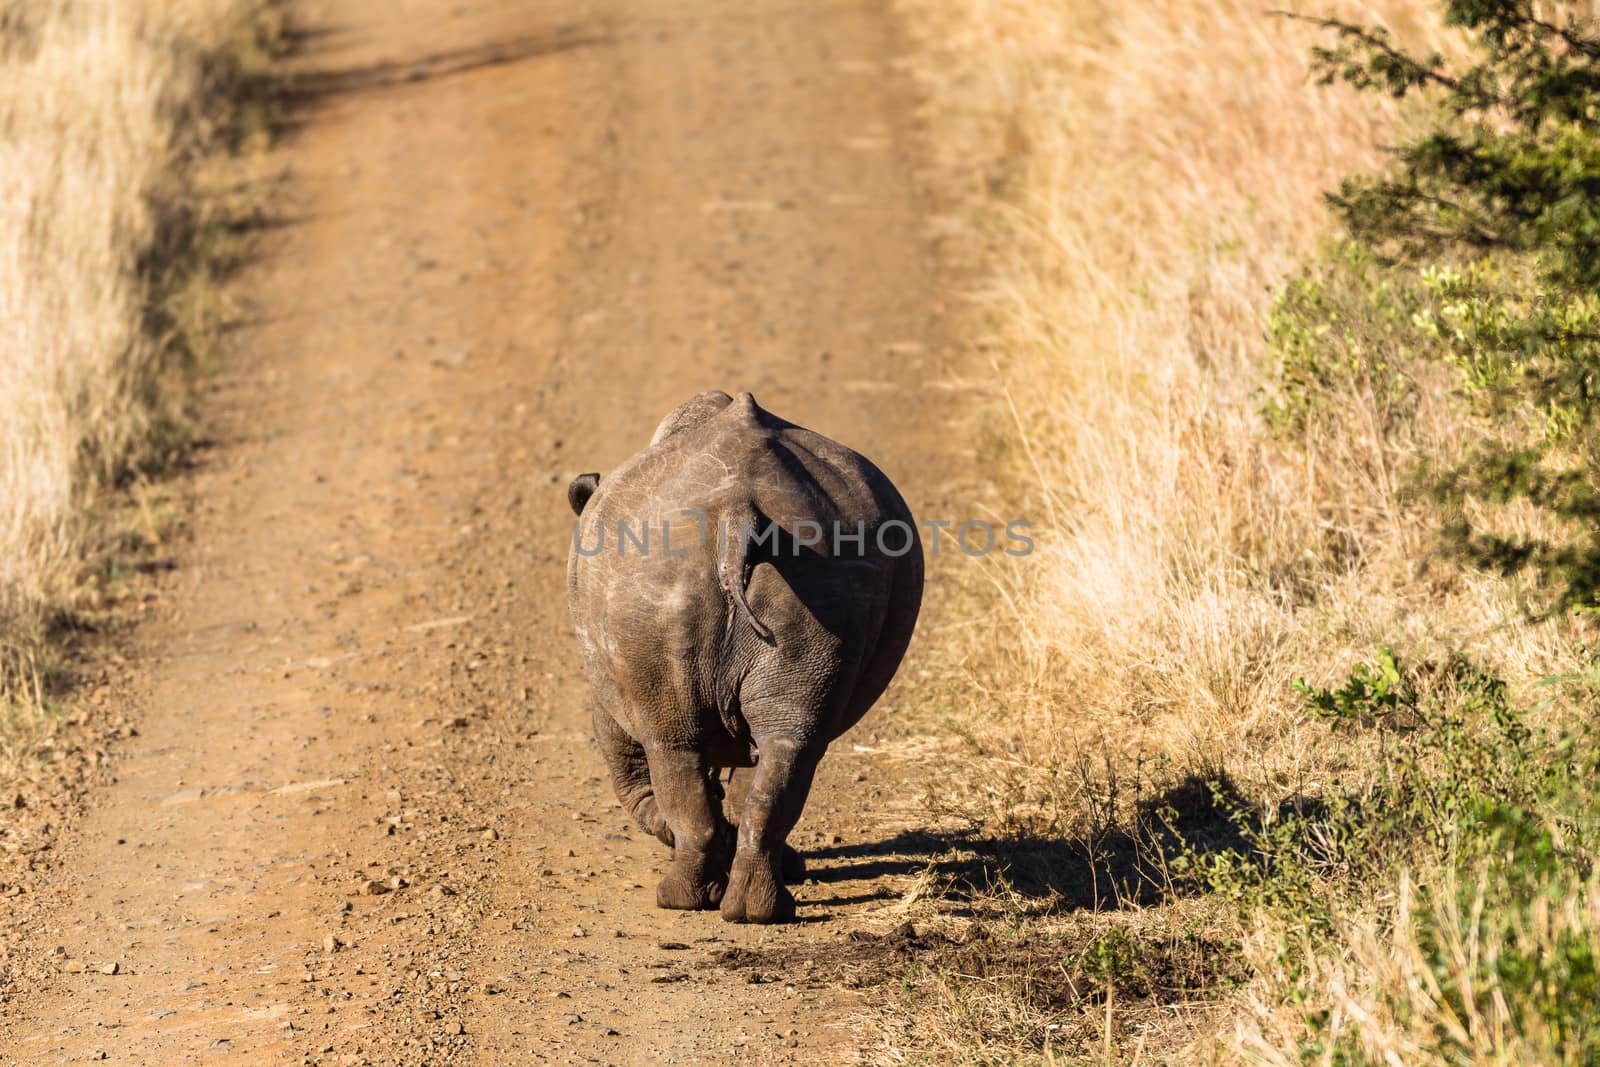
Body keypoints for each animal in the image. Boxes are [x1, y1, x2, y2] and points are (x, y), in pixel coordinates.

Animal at [569, 391, 928, 927]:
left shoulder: (607, 691)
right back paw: (757, 911)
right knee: (790, 744)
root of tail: (738, 513)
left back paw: (682, 899)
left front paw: (675, 833)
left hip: (653, 575)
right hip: (821, 566)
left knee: (673, 744)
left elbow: (630, 769)